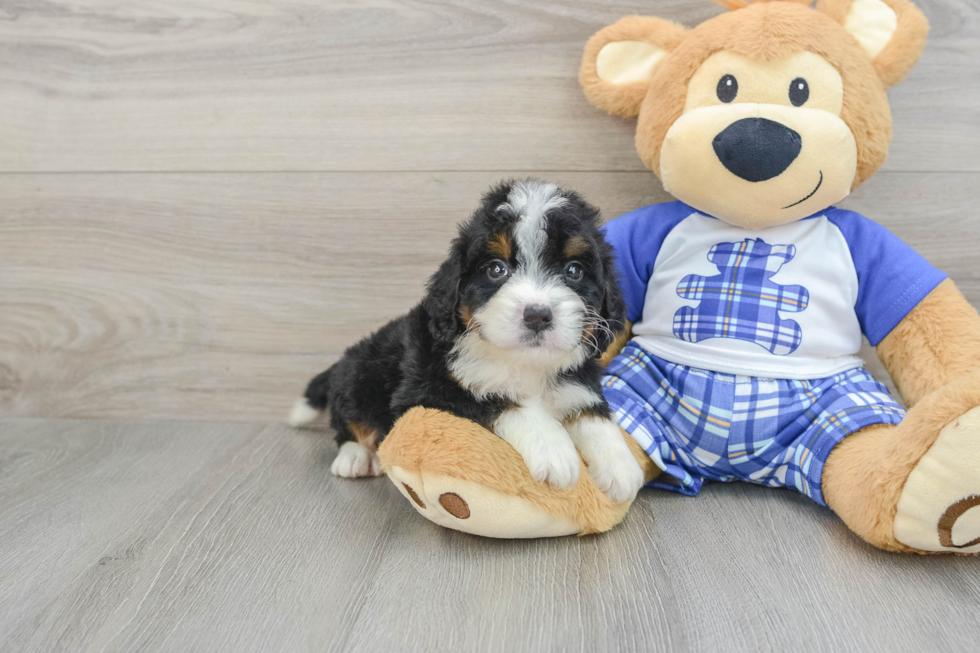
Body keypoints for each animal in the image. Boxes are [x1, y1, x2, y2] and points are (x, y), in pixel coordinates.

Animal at [290, 181, 644, 502]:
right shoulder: (427, 388)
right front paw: (553, 448)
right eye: (496, 269)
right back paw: (355, 457)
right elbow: (497, 396)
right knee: (348, 420)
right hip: (361, 374)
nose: (537, 315)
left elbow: (591, 412)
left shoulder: (577, 380)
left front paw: (620, 465)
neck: (523, 361)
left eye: (573, 271)